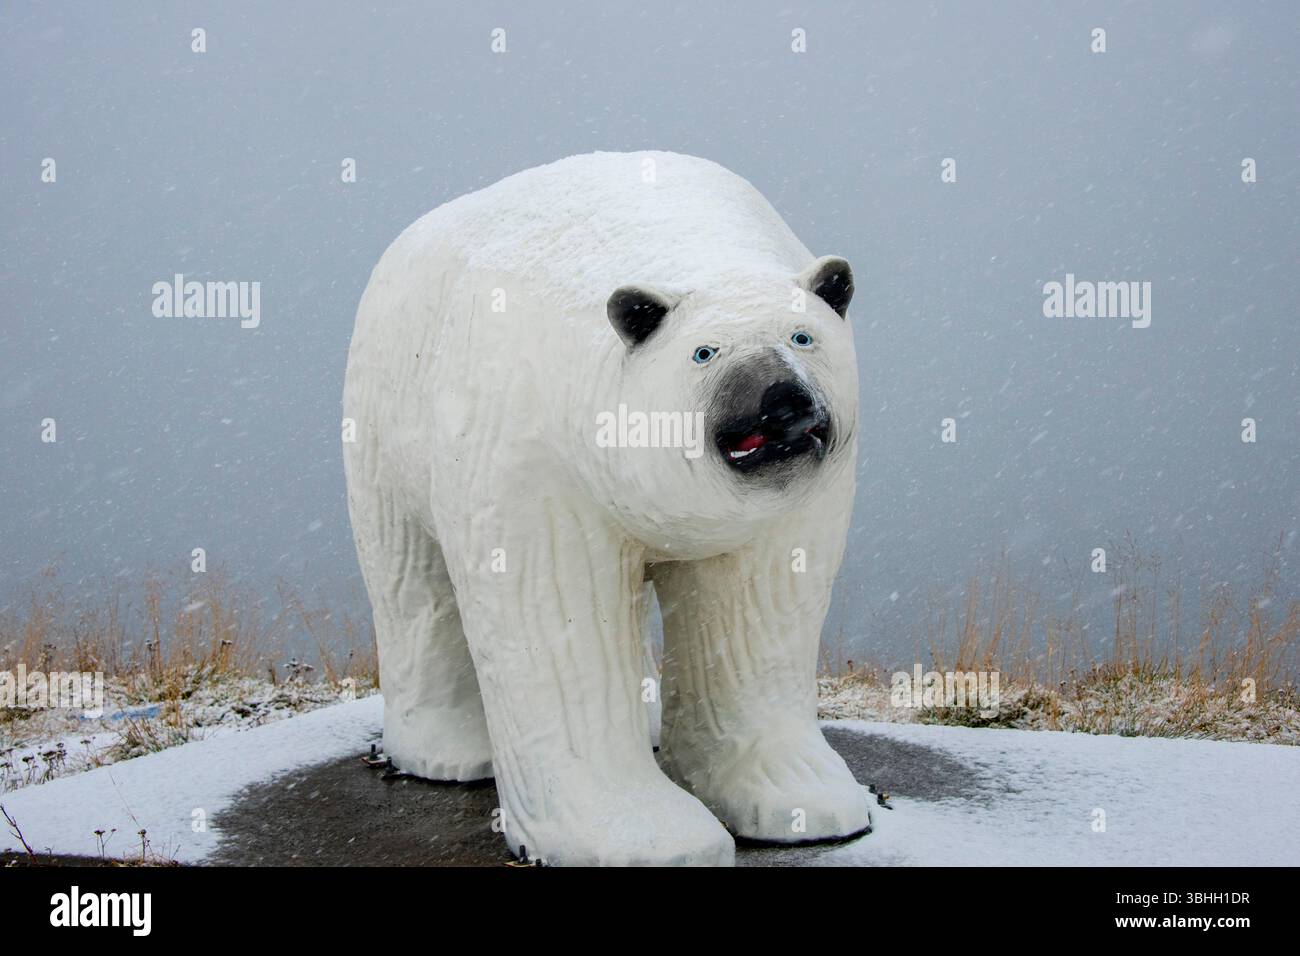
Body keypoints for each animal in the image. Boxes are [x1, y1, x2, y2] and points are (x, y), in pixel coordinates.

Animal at [342, 151, 870, 866]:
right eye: (705, 351)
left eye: (803, 335)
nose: (780, 398)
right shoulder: (534, 452)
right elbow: (556, 617)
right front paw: (643, 834)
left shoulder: (786, 502)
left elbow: (758, 602)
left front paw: (801, 795)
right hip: (383, 429)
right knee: (411, 581)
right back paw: (445, 751)